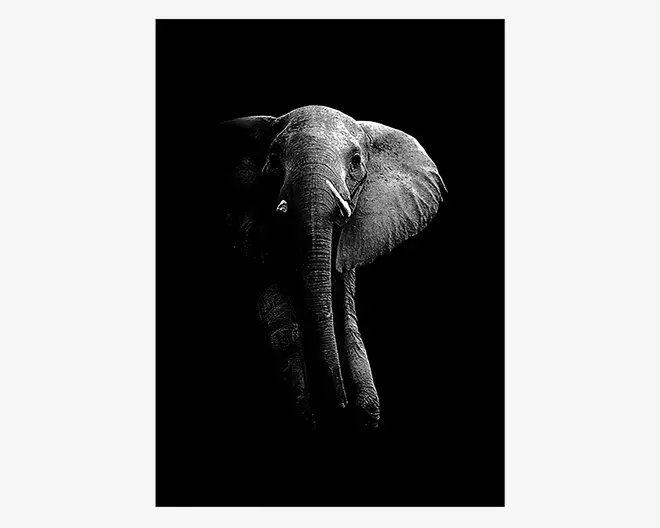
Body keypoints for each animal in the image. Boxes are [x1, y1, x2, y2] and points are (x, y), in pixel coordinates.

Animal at [220, 105, 446, 431]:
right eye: (273, 158)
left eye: (356, 161)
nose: (339, 406)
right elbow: (280, 312)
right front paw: (305, 416)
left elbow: (343, 306)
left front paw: (364, 415)